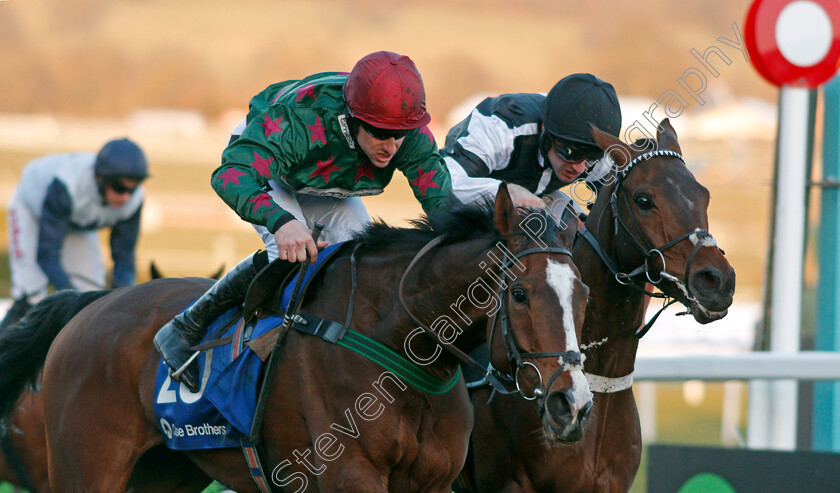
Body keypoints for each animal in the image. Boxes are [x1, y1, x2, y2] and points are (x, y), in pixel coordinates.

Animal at [0, 185, 592, 492]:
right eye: (520, 294)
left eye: (584, 291)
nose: (574, 404)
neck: (401, 347)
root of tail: (91, 305)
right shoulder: (350, 478)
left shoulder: (433, 482)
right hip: (85, 468)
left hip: (163, 474)